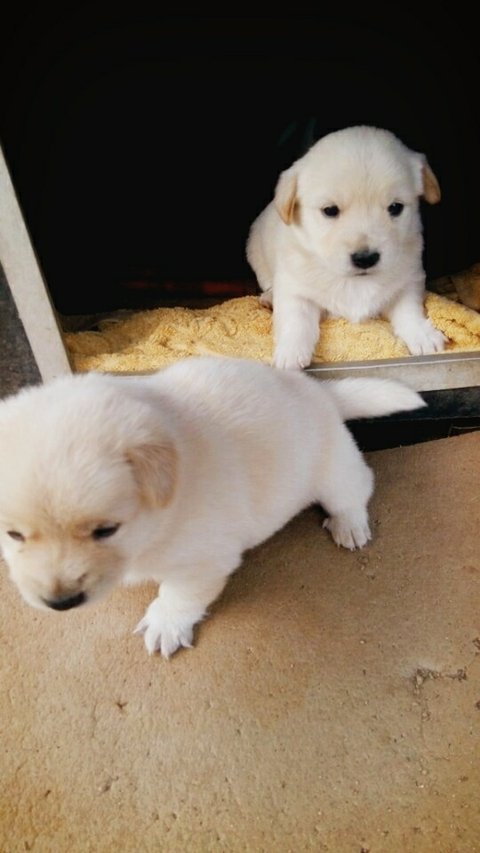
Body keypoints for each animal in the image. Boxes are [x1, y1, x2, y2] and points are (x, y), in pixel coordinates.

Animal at [0, 356, 425, 658]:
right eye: (13, 534)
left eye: (106, 531)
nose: (60, 603)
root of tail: (323, 393)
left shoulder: (201, 561)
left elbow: (178, 595)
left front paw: (165, 626)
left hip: (334, 471)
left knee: (357, 488)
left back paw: (349, 525)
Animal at [246, 124, 446, 370]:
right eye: (330, 210)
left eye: (395, 207)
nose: (365, 259)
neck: (354, 282)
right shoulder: (294, 289)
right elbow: (296, 320)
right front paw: (290, 353)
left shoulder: (408, 281)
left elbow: (409, 310)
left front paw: (421, 334)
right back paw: (268, 297)